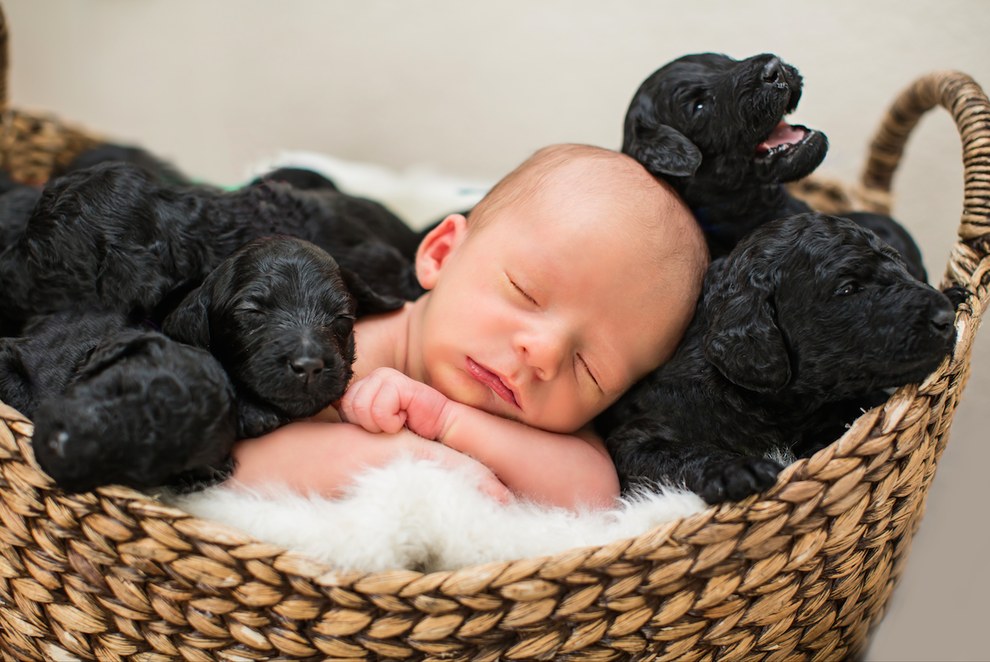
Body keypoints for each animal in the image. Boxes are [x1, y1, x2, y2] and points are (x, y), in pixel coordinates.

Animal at [596, 215, 960, 506]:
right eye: (848, 289)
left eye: (900, 267)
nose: (945, 317)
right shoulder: (636, 436)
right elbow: (680, 453)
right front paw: (737, 470)